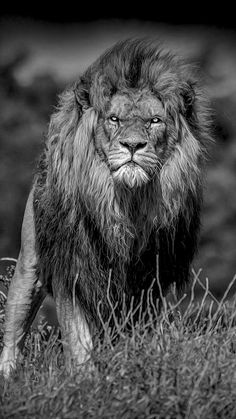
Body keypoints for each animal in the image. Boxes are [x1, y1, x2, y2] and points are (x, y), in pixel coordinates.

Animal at [0, 39, 212, 378]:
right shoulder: (71, 267)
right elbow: (77, 339)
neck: (126, 203)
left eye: (154, 121)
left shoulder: (149, 278)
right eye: (114, 119)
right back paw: (8, 377)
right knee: (14, 327)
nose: (133, 145)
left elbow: (140, 330)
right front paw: (84, 381)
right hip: (29, 264)